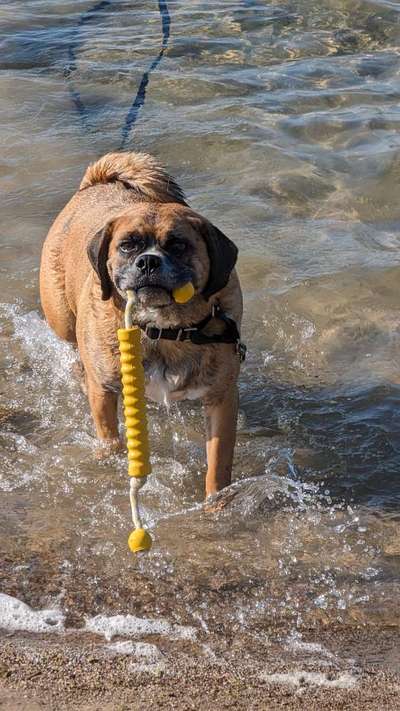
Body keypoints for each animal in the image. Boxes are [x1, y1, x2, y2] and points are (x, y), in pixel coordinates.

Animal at [40, 153, 245, 498]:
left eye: (178, 245)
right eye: (127, 245)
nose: (148, 261)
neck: (164, 329)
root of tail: (98, 182)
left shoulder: (221, 399)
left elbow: (219, 466)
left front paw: (216, 502)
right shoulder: (104, 391)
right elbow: (110, 438)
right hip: (63, 320)